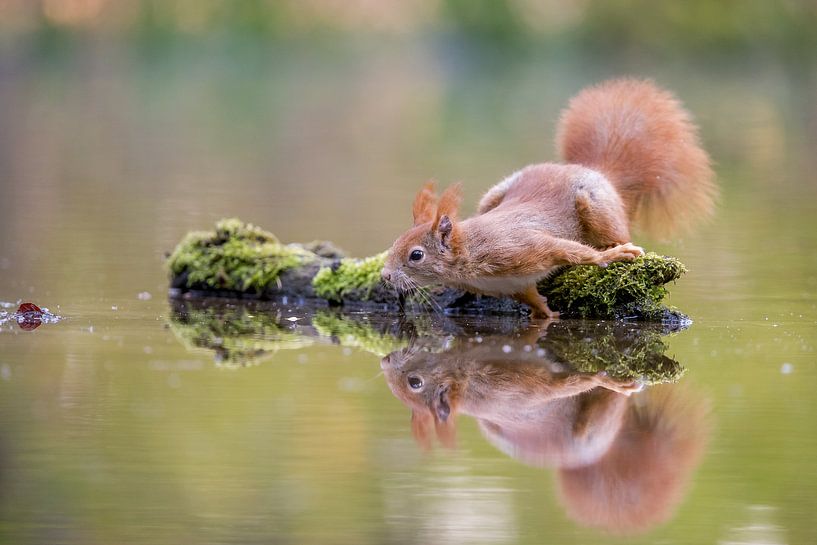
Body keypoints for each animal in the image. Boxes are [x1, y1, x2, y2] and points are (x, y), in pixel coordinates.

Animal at [380, 76, 712, 314]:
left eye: (416, 255)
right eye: (395, 242)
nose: (384, 276)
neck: (469, 253)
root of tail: (592, 169)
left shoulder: (525, 246)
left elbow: (575, 252)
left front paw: (611, 256)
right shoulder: (512, 284)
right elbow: (533, 300)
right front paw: (548, 315)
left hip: (596, 206)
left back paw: (616, 244)